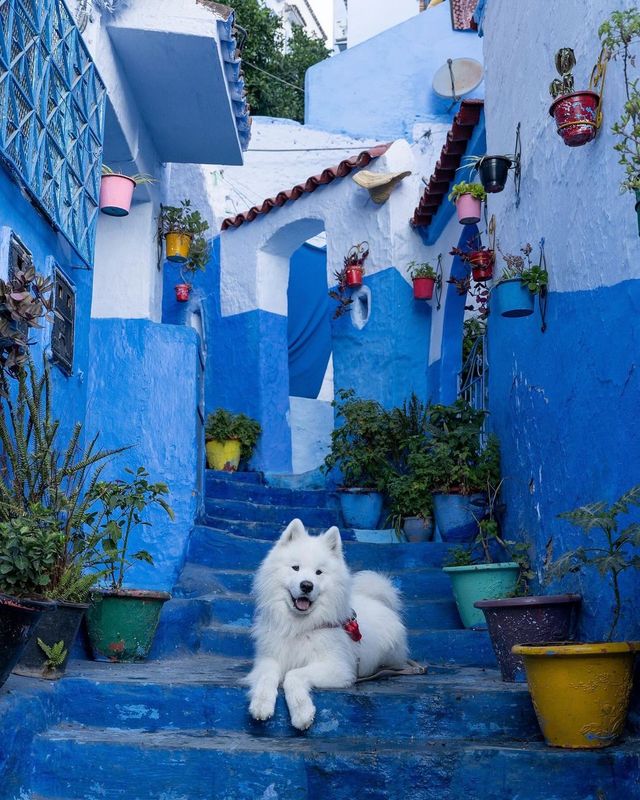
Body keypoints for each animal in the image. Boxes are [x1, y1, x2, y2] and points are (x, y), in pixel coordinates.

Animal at [242, 520, 408, 732]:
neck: (299, 627)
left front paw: (302, 712)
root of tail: (376, 601)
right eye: (295, 568)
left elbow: (293, 675)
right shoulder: (268, 659)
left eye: (318, 572)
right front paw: (261, 704)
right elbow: (266, 677)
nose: (306, 585)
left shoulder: (337, 668)